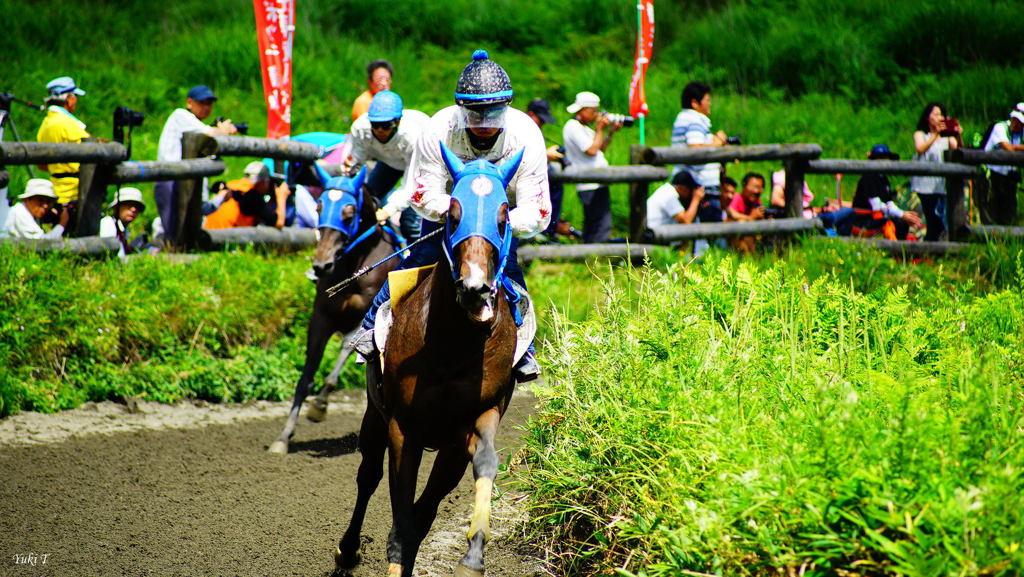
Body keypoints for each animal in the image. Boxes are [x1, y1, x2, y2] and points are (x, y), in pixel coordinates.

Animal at [268, 171, 399, 457]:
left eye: (349, 214)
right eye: (318, 208)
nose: (321, 264)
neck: (353, 269)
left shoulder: (363, 316)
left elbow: (346, 350)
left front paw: (320, 404)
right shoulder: (320, 319)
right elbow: (306, 376)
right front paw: (283, 436)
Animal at [335, 145, 524, 577]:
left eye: (503, 216)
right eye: (453, 215)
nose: (475, 288)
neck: (454, 344)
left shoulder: (474, 421)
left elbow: (480, 467)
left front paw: (473, 556)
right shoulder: (404, 427)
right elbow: (401, 509)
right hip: (374, 416)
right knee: (368, 475)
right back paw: (348, 550)